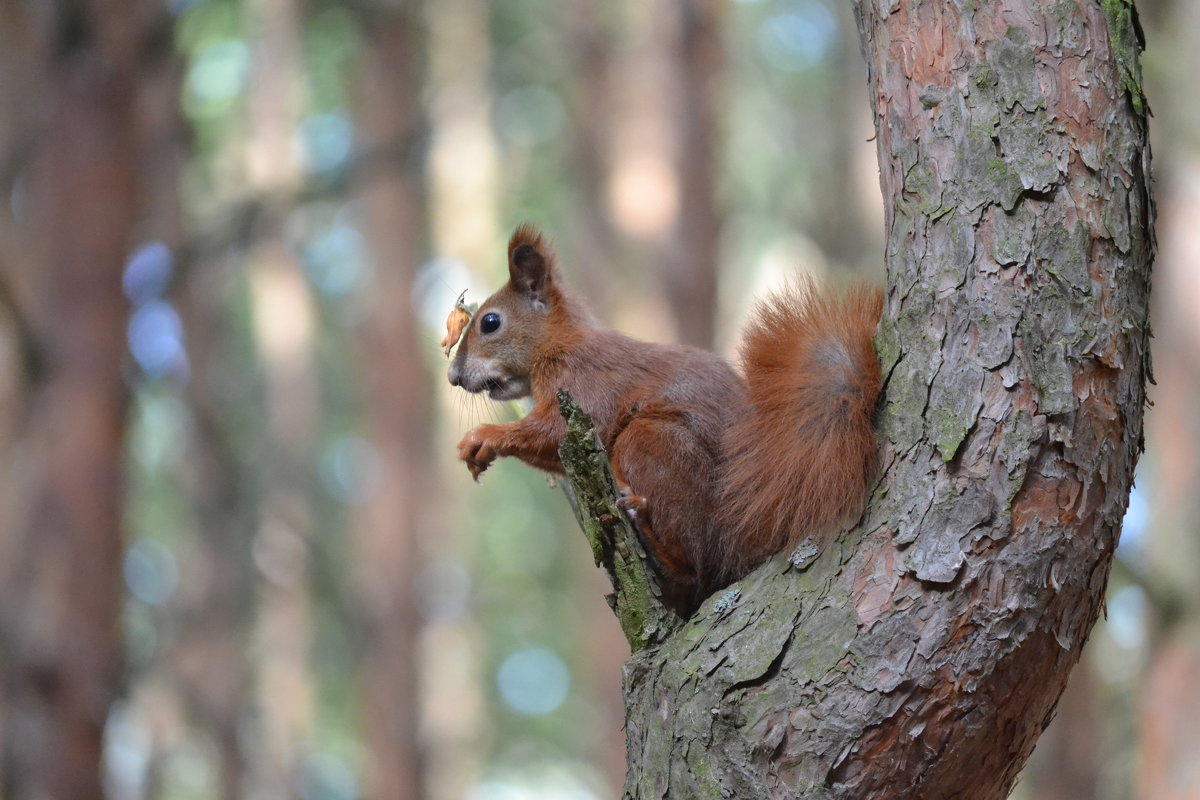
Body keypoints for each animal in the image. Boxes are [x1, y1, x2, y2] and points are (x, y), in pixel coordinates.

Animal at [451, 224, 883, 614]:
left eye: (490, 323)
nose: (453, 376)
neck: (558, 344)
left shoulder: (583, 384)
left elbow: (553, 432)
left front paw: (483, 436)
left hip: (652, 442)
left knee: (697, 568)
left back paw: (651, 536)